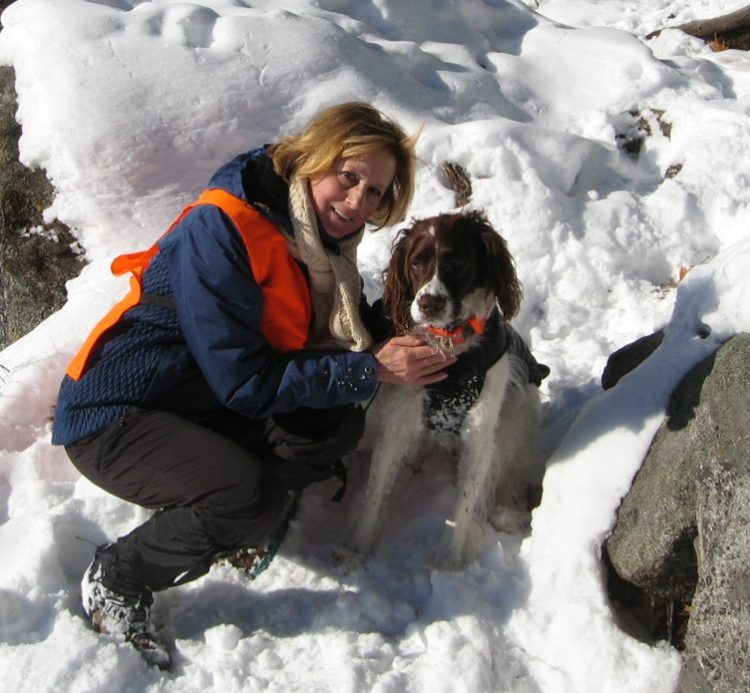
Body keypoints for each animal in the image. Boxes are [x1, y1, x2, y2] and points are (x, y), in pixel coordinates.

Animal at [350, 208, 548, 564]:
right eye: (416, 262)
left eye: (456, 263)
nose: (429, 303)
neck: (451, 352)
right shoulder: (400, 421)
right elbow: (376, 491)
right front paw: (358, 548)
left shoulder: (480, 433)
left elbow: (464, 505)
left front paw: (449, 561)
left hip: (518, 406)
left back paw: (505, 513)